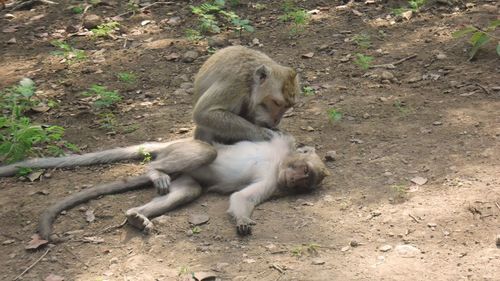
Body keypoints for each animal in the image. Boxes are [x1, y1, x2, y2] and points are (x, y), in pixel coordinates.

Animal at [0, 133, 328, 241]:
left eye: (306, 181)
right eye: (303, 172)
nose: (296, 181)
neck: (279, 164)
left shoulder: (271, 183)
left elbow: (241, 197)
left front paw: (243, 218)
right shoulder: (278, 150)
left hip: (185, 175)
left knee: (188, 190)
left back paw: (136, 215)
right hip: (182, 148)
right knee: (206, 152)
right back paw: (153, 170)